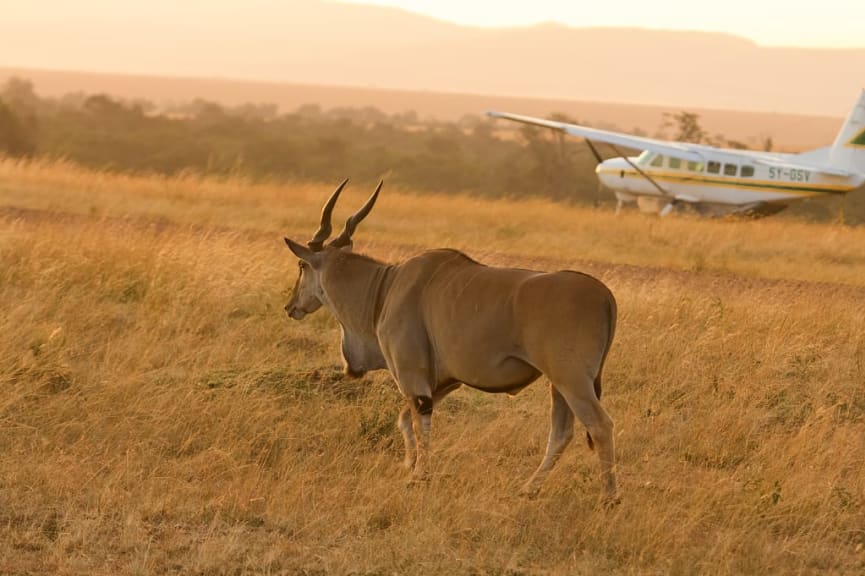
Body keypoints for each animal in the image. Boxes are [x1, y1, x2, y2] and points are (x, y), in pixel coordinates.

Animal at [282, 180, 616, 500]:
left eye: (301, 266)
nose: (290, 306)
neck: (386, 287)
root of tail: (605, 296)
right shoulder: (444, 382)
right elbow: (405, 420)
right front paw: (410, 466)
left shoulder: (413, 378)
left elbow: (418, 423)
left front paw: (418, 476)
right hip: (558, 385)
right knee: (562, 433)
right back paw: (529, 489)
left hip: (572, 380)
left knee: (600, 425)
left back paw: (608, 497)